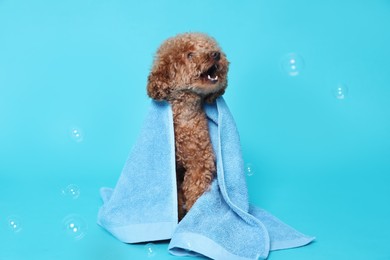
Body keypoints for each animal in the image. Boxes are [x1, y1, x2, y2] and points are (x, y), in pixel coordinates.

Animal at [147, 32, 230, 219]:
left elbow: (195, 193)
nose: (216, 54)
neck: (185, 116)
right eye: (190, 55)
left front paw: (191, 218)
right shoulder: (173, 171)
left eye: (209, 48)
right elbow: (176, 199)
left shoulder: (199, 164)